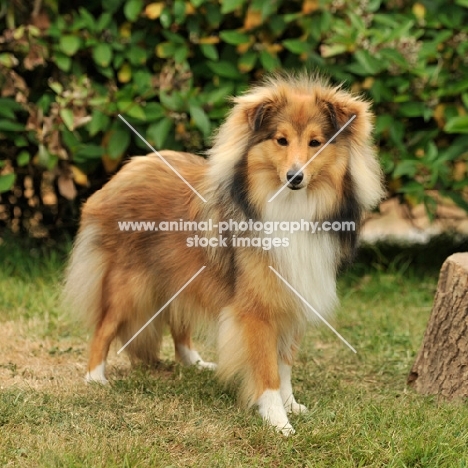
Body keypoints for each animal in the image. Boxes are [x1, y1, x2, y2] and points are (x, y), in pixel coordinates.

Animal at [63, 73, 384, 436]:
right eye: (281, 140)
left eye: (316, 143)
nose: (294, 177)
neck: (291, 207)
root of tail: (124, 172)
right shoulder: (257, 309)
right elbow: (267, 370)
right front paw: (278, 422)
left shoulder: (292, 296)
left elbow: (285, 365)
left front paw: (291, 405)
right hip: (127, 283)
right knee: (103, 328)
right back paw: (95, 378)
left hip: (180, 274)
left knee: (177, 318)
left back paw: (194, 362)